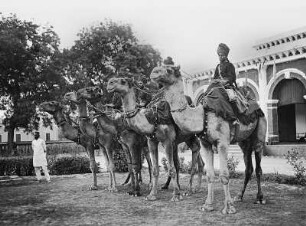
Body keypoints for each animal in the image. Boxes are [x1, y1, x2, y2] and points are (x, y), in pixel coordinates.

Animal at [150, 65, 266, 214]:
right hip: (244, 141)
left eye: (169, 70)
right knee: (248, 167)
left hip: (259, 134)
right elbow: (210, 174)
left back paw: (260, 198)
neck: (202, 115)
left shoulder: (222, 142)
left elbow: (224, 174)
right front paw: (208, 205)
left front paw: (228, 208)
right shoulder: (205, 143)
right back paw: (239, 196)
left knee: (258, 167)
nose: (153, 72)